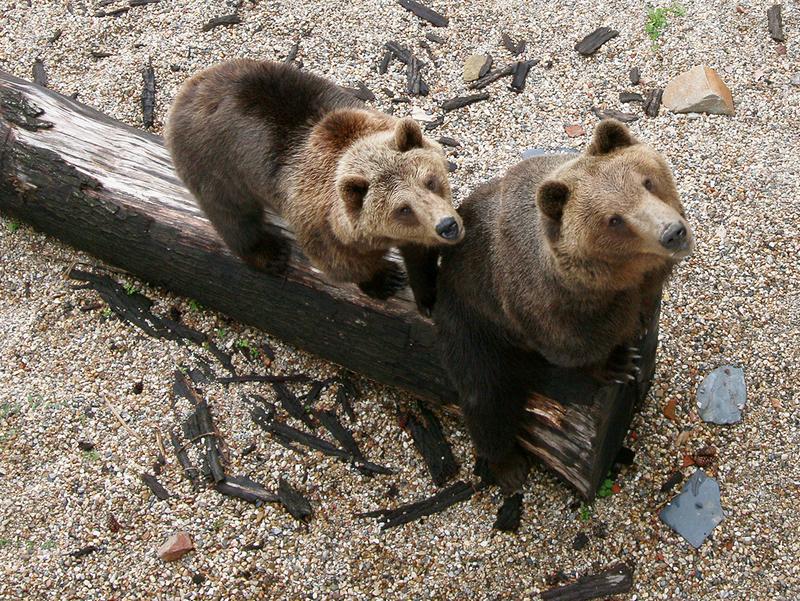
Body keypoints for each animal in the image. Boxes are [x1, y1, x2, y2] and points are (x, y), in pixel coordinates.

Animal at [164, 59, 462, 304]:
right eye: (403, 209)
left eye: (430, 181)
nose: (447, 226)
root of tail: (189, 89)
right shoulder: (321, 222)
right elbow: (342, 263)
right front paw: (385, 278)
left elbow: (420, 251)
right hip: (215, 166)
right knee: (235, 218)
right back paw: (270, 253)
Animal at [432, 119, 692, 494]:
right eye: (615, 219)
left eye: (647, 181)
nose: (673, 232)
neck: (616, 281)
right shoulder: (546, 308)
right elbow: (571, 349)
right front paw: (618, 362)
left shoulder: (643, 283)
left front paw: (641, 323)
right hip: (470, 318)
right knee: (485, 395)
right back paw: (508, 465)